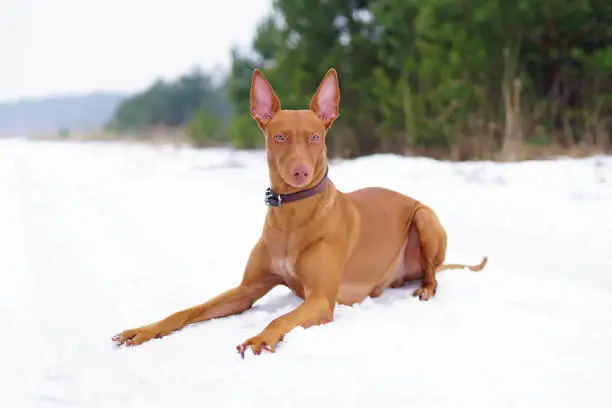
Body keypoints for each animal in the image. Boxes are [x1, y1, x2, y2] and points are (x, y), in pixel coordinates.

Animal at [113, 68, 488, 356]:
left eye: (314, 138)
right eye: (279, 137)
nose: (300, 173)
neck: (293, 217)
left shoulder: (321, 300)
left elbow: (279, 318)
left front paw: (261, 338)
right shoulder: (246, 290)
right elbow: (190, 309)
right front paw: (145, 329)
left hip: (425, 218)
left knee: (433, 274)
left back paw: (425, 288)